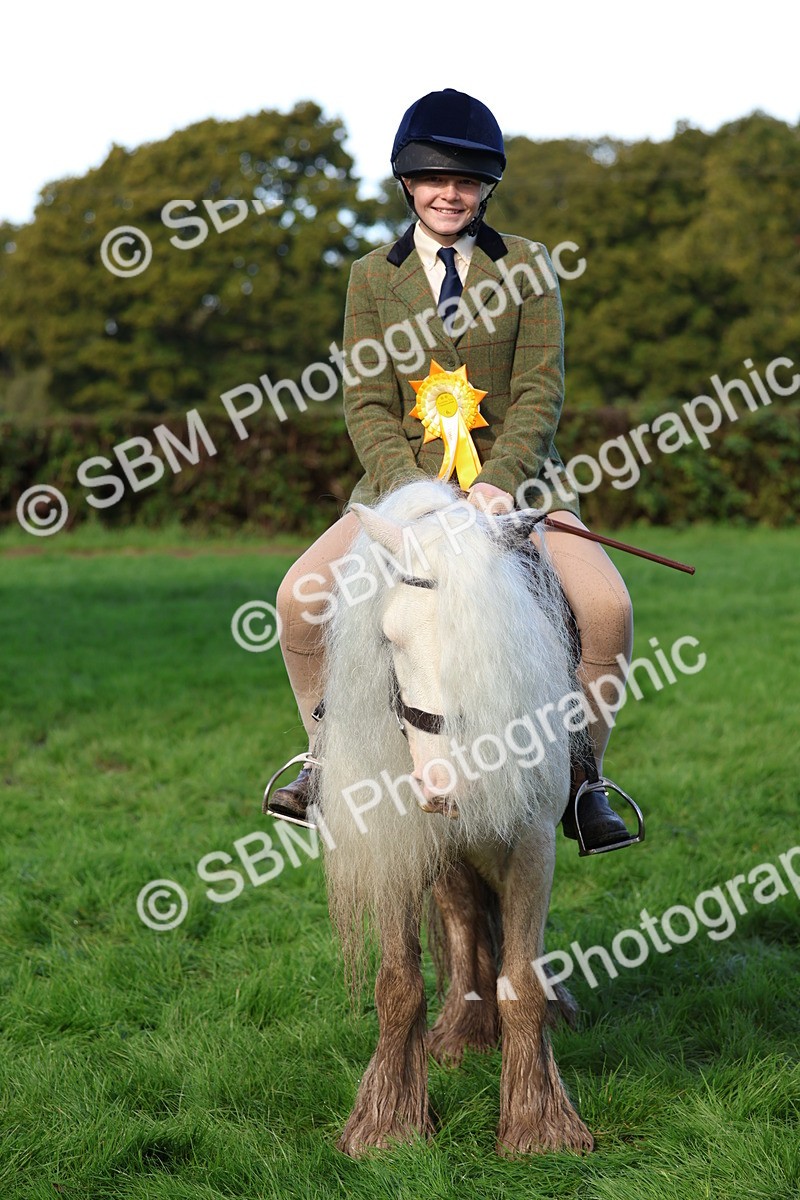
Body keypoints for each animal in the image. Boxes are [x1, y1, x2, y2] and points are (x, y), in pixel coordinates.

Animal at [310, 477, 594, 1158]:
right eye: (389, 639)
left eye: (488, 645)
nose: (445, 786)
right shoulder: (397, 839)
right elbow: (397, 982)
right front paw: (388, 1124)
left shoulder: (532, 840)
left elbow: (521, 981)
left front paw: (538, 1127)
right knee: (464, 910)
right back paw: (463, 1028)